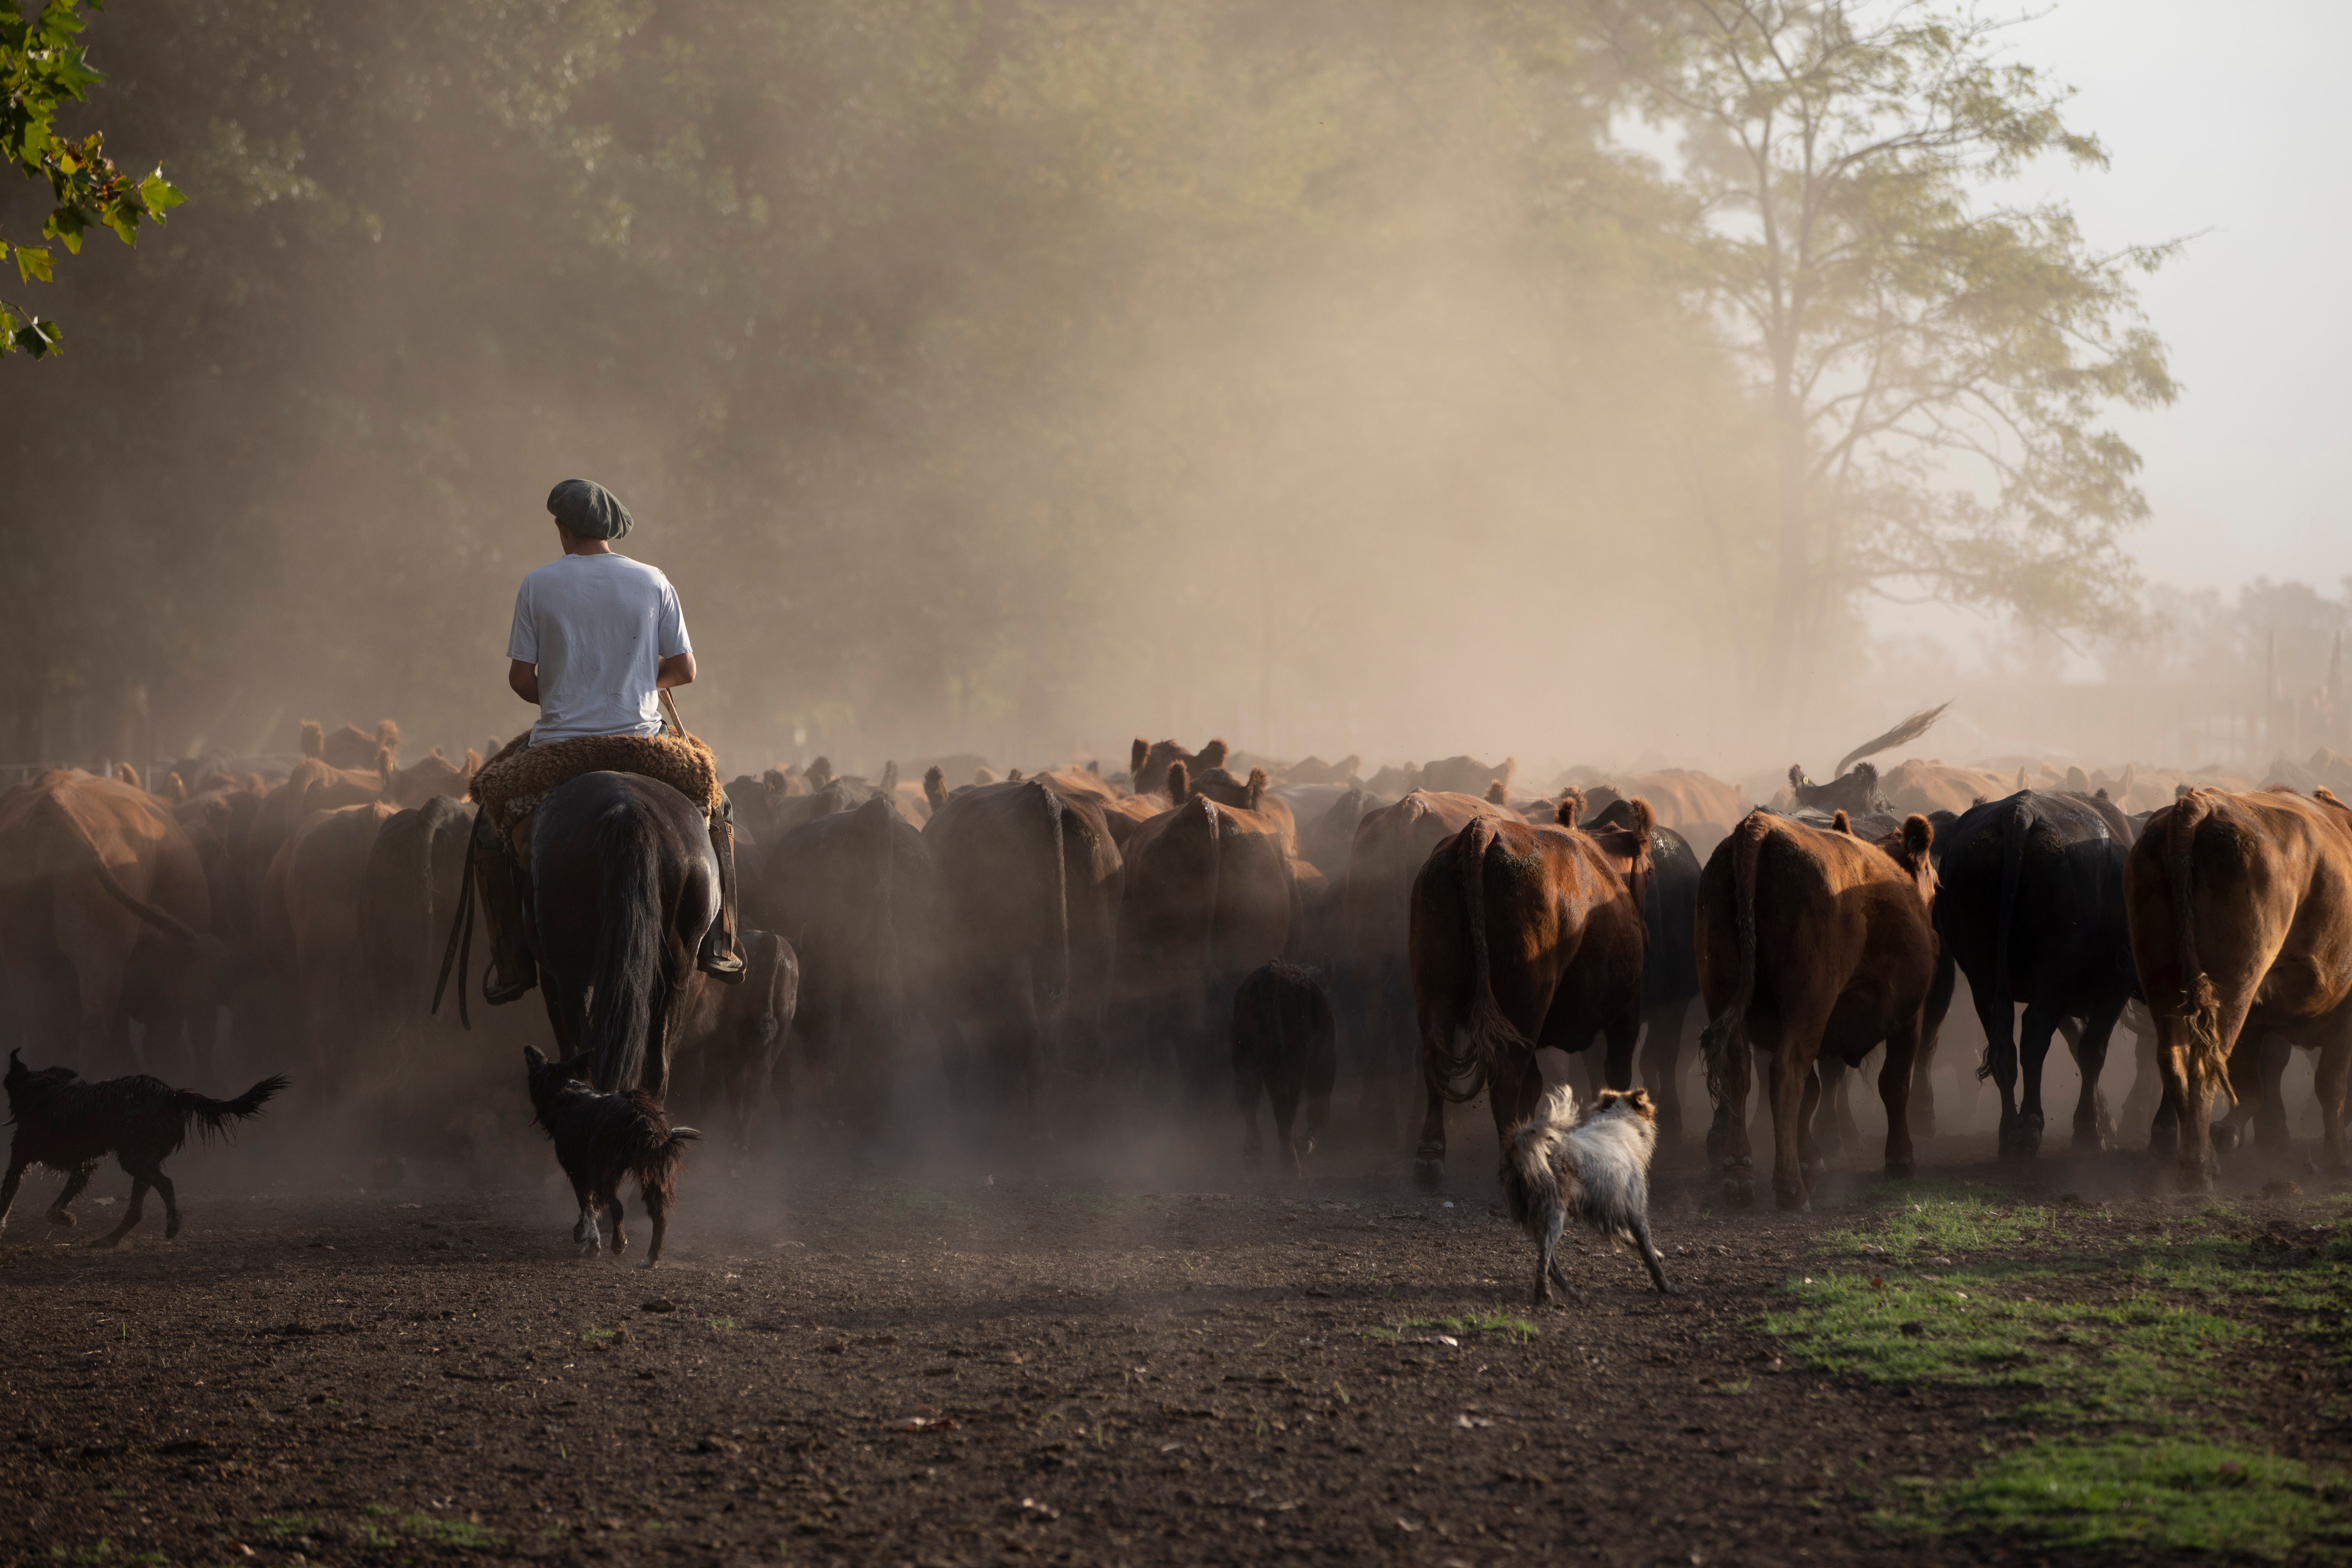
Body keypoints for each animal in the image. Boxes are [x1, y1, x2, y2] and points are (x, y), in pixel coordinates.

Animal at [1406, 802, 1652, 1191]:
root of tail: (1483, 830)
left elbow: (1534, 1085)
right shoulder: (1625, 1015)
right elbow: (1616, 1075)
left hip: (1437, 993)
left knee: (1437, 1064)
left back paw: (1430, 1157)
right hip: (1523, 1006)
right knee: (1505, 1081)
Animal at [1697, 809, 1943, 1210]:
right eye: (1936, 883)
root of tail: (1760, 827)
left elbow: (1811, 1095)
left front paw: (1809, 1163)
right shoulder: (1909, 1019)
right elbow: (1894, 1084)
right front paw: (1900, 1160)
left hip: (1725, 990)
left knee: (1740, 1071)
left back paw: (1740, 1174)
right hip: (1810, 1002)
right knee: (1786, 1072)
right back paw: (1790, 1189)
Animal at [1933, 791, 2137, 1159]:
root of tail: (2020, 813)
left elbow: (2076, 1044)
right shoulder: (2113, 988)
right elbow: (2091, 1052)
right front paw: (2089, 1130)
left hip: (1983, 977)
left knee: (2003, 1044)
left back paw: (2008, 1130)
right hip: (2056, 972)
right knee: (2034, 1033)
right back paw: (2030, 1125)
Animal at [2123, 787, 2352, 1188]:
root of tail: (2199, 805)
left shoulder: (2260, 1018)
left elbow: (2255, 1085)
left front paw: (2231, 1132)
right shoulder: (2344, 1007)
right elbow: (2331, 1085)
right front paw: (2337, 1161)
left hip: (2161, 978)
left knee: (2174, 1061)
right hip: (2233, 986)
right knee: (2205, 1063)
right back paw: (2198, 1169)